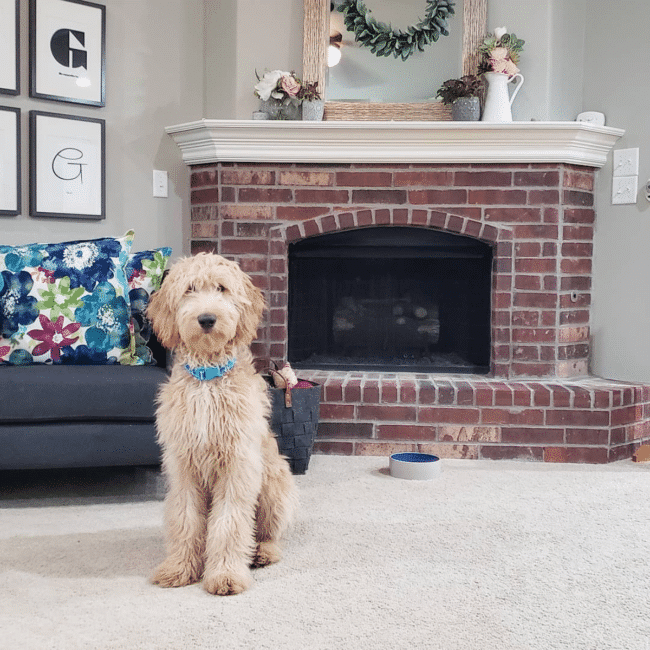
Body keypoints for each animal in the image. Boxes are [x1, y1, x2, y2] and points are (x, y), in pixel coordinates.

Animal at [146, 252, 296, 592]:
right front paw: (180, 568)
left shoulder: (237, 465)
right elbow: (186, 518)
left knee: (270, 532)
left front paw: (225, 574)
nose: (206, 319)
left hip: (274, 482)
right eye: (189, 289)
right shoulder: (183, 465)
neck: (207, 378)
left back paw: (262, 553)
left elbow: (230, 523)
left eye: (222, 288)